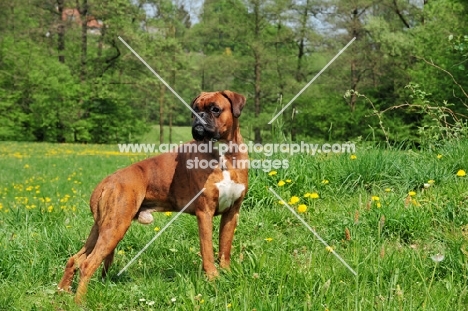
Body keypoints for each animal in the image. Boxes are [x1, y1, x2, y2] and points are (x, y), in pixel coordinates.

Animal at [57, 89, 249, 302]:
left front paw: (227, 274)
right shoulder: (204, 213)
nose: (198, 117)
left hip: (101, 228)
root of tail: (105, 182)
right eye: (195, 109)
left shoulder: (231, 213)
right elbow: (207, 251)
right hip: (115, 227)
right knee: (87, 264)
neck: (223, 154)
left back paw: (62, 292)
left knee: (75, 259)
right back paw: (79, 301)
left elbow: (225, 248)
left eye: (215, 109)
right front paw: (214, 279)